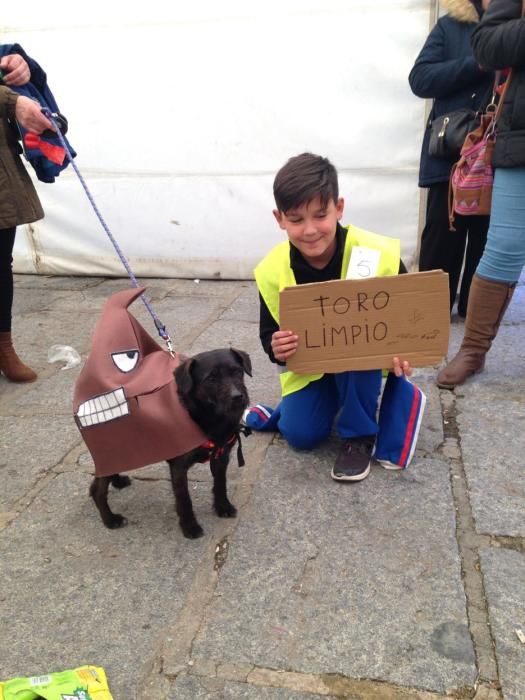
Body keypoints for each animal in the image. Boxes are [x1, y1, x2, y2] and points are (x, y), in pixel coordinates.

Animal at [89, 348, 251, 540]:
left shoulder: (221, 457)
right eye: (211, 379)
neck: (203, 416)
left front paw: (223, 507)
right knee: (98, 491)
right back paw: (110, 519)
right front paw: (189, 527)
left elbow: (220, 484)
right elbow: (184, 500)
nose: (238, 397)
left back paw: (117, 482)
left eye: (238, 372)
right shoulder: (179, 468)